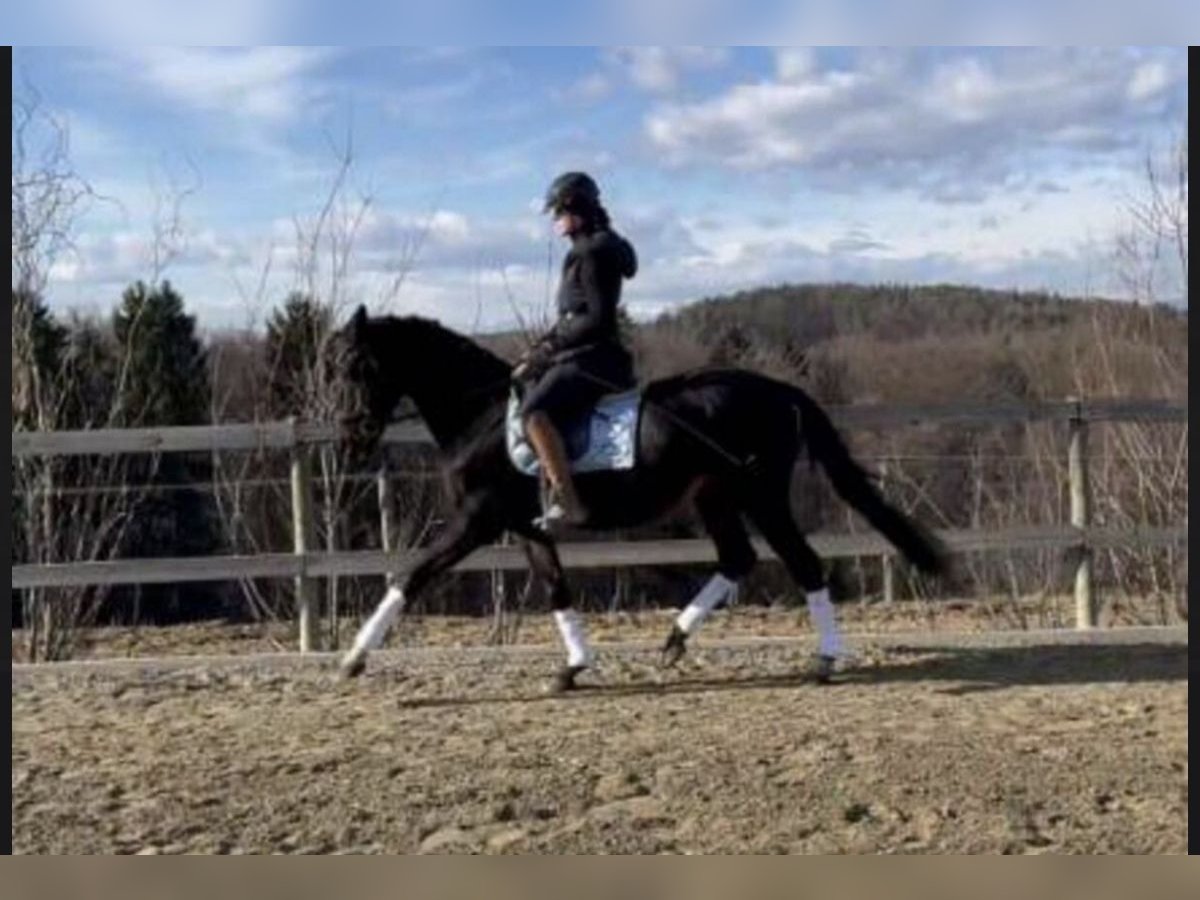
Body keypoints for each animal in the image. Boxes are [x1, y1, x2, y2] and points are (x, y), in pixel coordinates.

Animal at [333, 306, 948, 691]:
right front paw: (573, 667)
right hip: (714, 496)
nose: (350, 440)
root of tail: (780, 389)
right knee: (737, 557)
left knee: (804, 563)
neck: (481, 415)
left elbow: (409, 575)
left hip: (762, 496)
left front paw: (353, 659)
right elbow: (556, 588)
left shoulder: (476, 520)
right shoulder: (526, 525)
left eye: (359, 367)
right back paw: (674, 639)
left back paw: (824, 658)